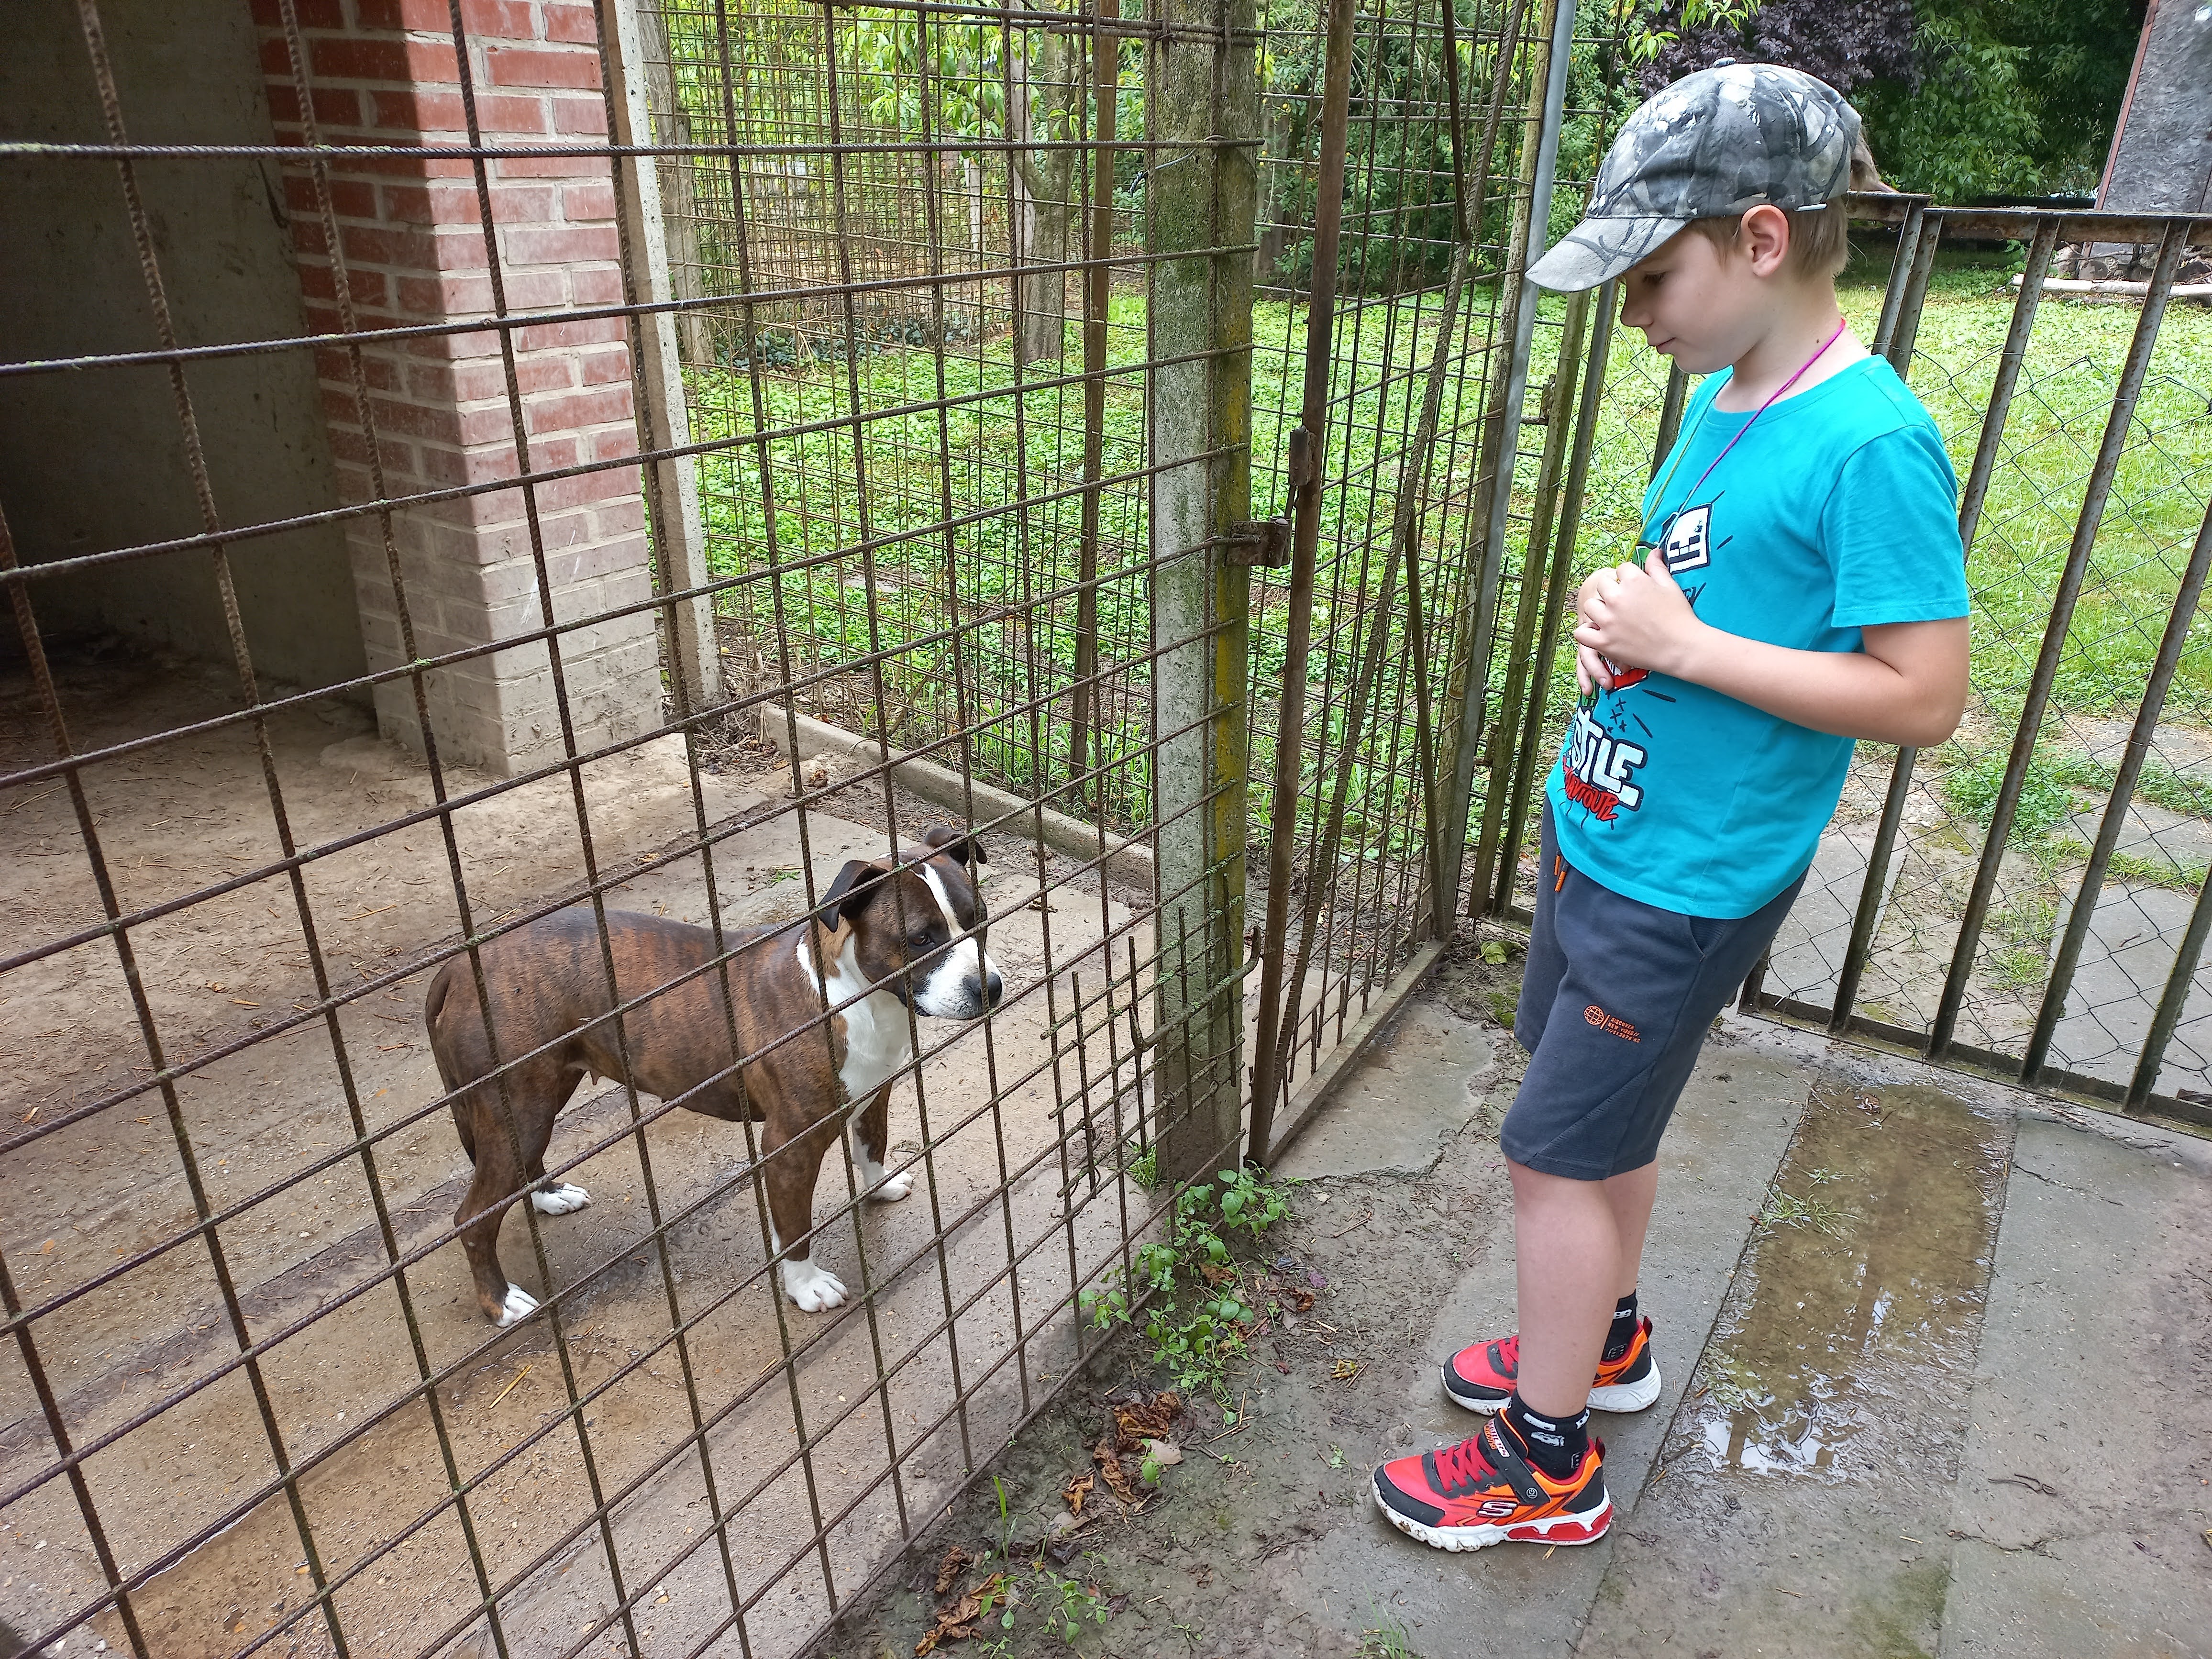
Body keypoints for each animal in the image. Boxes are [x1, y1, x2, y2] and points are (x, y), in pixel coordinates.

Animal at [424, 826, 1003, 1325]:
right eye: (921, 940)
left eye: (980, 917)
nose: (990, 987)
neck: (856, 996)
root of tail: (459, 967)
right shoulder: (789, 1145)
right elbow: (795, 1228)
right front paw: (806, 1286)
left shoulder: (873, 1094)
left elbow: (872, 1147)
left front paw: (879, 1187)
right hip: (516, 1108)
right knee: (472, 1218)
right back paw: (501, 1302)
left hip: (535, 1099)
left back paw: (549, 1195)